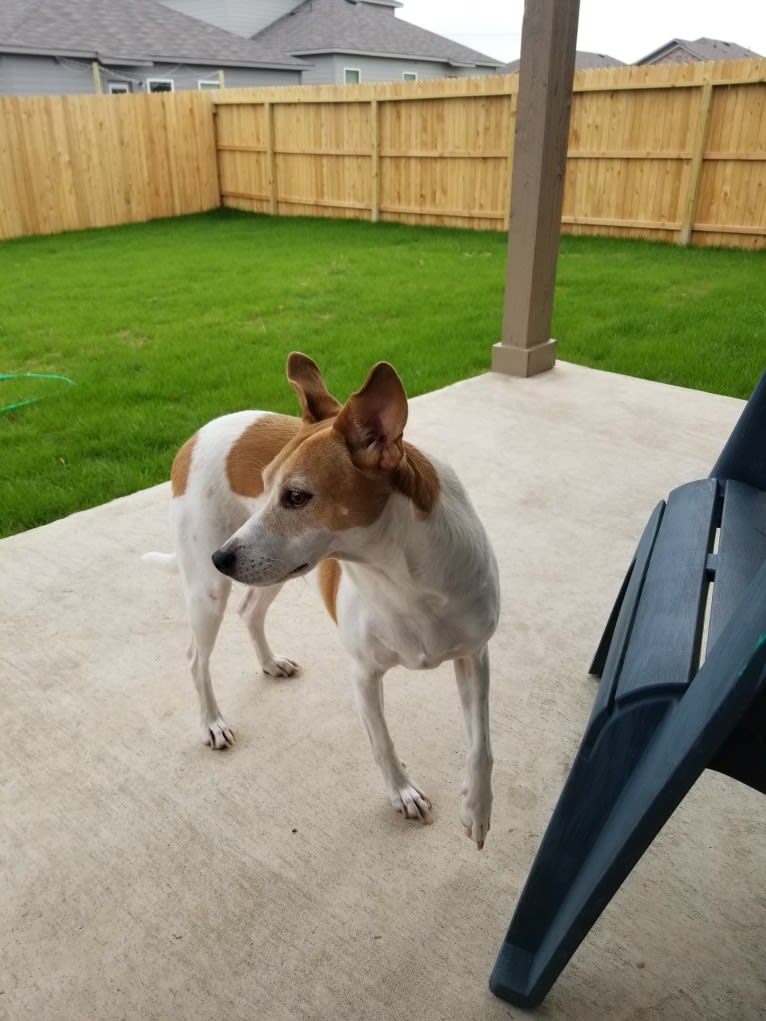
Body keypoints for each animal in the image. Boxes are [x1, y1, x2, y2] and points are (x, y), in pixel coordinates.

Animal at [148, 355, 498, 849]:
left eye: (297, 496)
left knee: (249, 611)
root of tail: (198, 433)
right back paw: (212, 722)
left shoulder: (474, 656)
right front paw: (403, 793)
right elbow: (383, 742)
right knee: (197, 658)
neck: (404, 581)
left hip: (271, 571)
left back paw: (270, 663)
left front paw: (477, 808)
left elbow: (481, 744)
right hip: (208, 589)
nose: (221, 557)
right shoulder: (364, 675)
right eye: (264, 484)